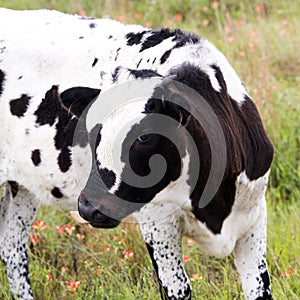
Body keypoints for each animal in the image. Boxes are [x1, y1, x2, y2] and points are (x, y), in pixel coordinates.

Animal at [0, 8, 274, 298]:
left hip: (23, 186)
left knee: (12, 246)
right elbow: (179, 287)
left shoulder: (254, 219)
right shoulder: (157, 226)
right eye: (91, 126)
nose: (88, 207)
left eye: (144, 136)